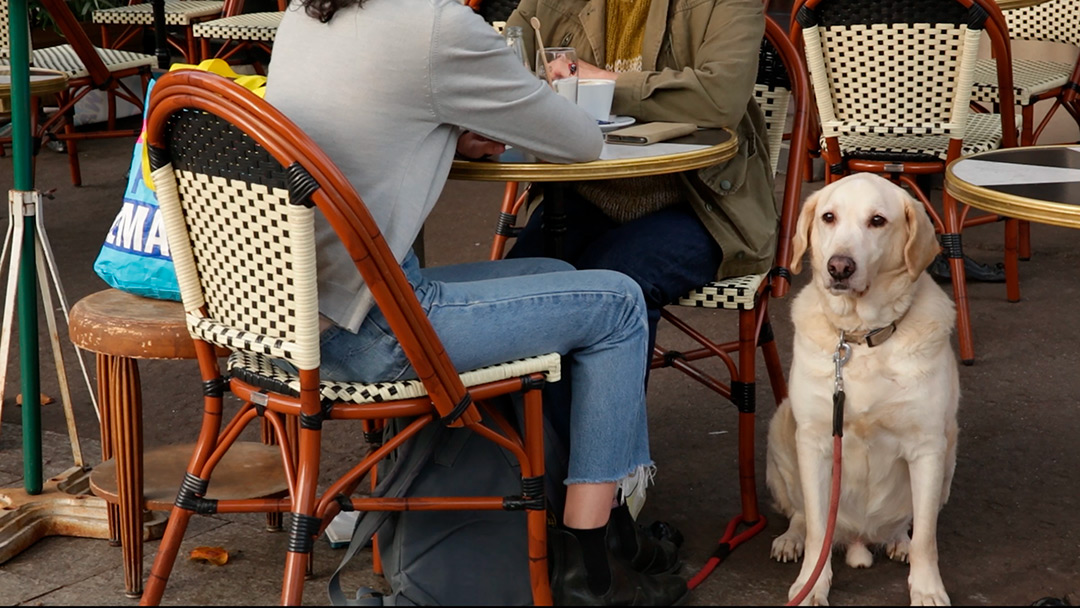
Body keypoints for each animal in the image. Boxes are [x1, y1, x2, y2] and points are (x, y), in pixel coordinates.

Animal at [764, 173, 959, 604]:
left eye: (877, 221)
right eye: (829, 217)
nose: (839, 266)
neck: (861, 336)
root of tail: (858, 539)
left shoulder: (927, 446)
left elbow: (927, 537)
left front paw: (927, 588)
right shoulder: (816, 441)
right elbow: (818, 527)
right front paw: (811, 584)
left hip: (950, 452)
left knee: (910, 523)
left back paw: (899, 541)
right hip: (782, 428)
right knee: (802, 515)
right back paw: (790, 539)